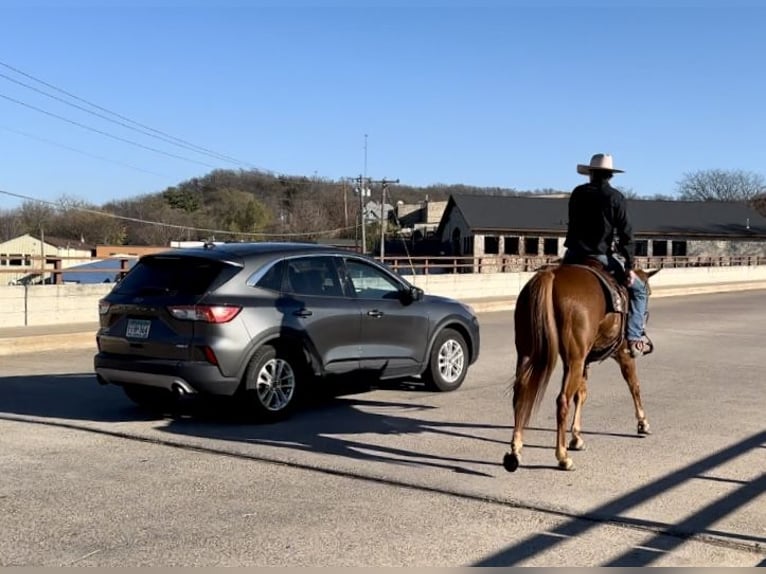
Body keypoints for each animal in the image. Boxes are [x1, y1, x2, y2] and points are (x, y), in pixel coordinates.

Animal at [504, 264, 660, 474]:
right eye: (647, 293)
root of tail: (551, 276)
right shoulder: (623, 353)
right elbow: (634, 385)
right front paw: (642, 423)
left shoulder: (584, 361)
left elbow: (581, 395)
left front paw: (576, 437)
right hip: (574, 360)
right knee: (562, 401)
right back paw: (562, 457)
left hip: (528, 352)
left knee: (520, 393)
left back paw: (515, 450)